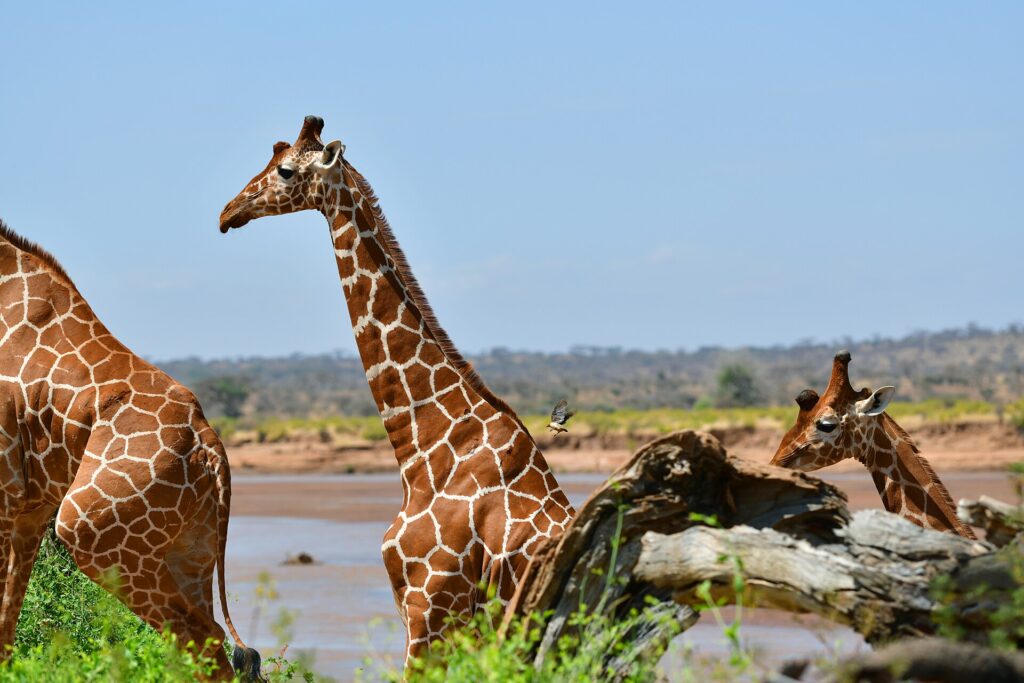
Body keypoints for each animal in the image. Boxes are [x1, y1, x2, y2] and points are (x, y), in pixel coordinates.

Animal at [0, 222, 262, 679]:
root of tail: (210, 446)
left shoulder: (3, 484)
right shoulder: (29, 508)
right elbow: (8, 616)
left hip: (90, 529)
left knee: (202, 637)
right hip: (189, 549)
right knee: (211, 637)